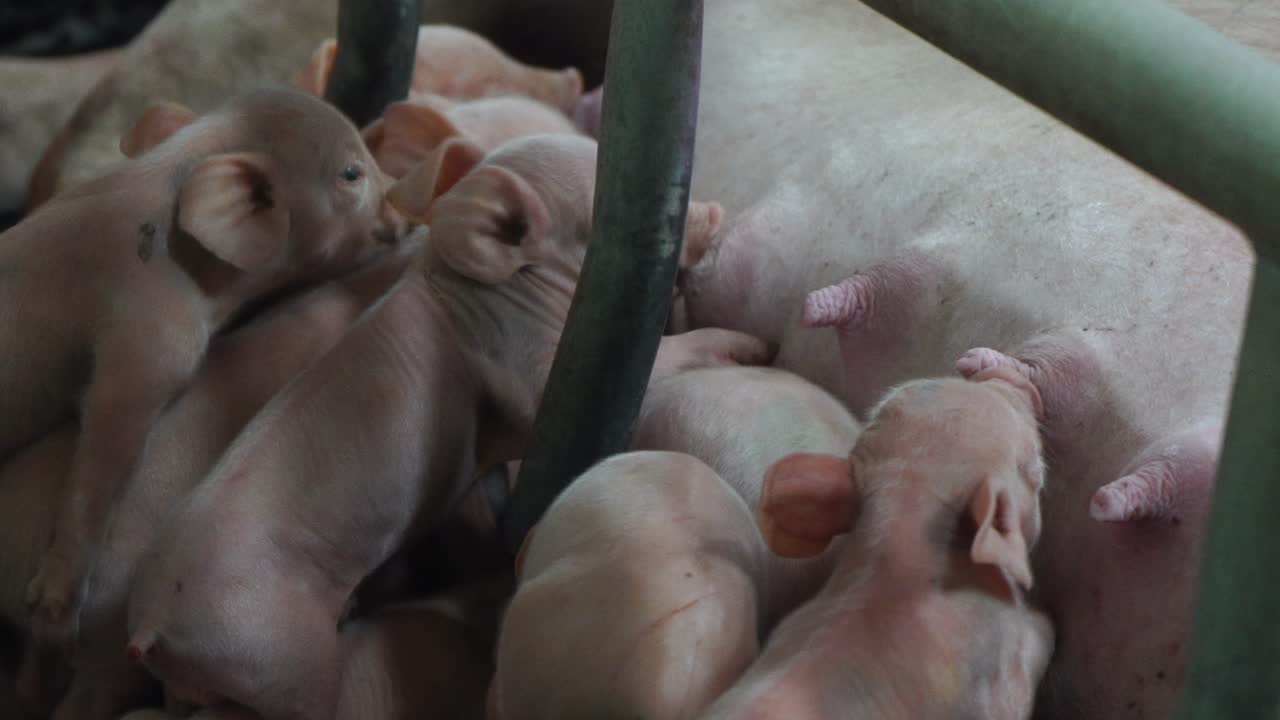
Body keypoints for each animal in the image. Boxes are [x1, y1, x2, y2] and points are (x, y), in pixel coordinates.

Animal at [124, 132, 727, 720]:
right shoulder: (529, 366)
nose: (718, 209)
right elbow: (655, 364)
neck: (488, 293)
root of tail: (150, 629)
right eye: (611, 208)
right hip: (274, 655)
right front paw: (739, 346)